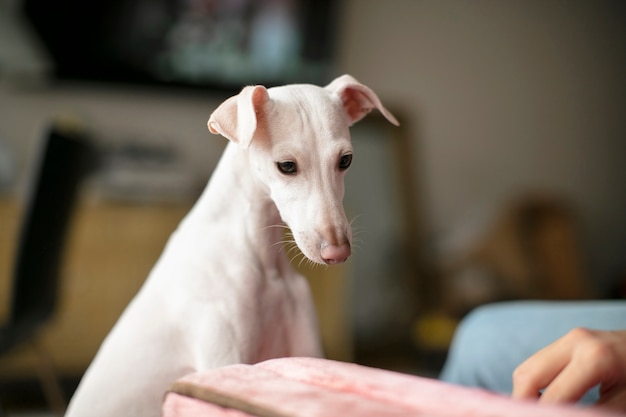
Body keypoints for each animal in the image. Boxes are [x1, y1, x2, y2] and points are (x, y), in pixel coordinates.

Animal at [63, 73, 394, 414]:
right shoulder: (225, 362)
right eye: (286, 166)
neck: (262, 259)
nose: (337, 252)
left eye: (346, 160)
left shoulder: (306, 354)